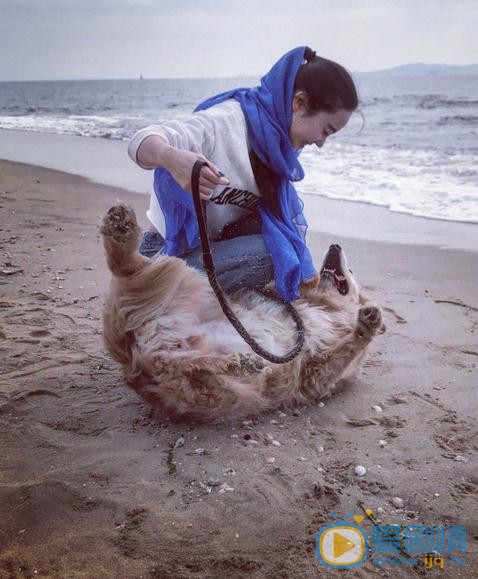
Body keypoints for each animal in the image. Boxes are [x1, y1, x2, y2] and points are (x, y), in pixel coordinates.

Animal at [101, 205, 384, 422]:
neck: (325, 307)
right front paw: (367, 324)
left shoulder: (314, 375)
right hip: (193, 279)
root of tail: (134, 359)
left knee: (176, 364)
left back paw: (239, 363)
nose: (335, 245)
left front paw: (367, 324)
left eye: (352, 271)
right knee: (129, 269)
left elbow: (344, 352)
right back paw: (120, 229)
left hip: (212, 391)